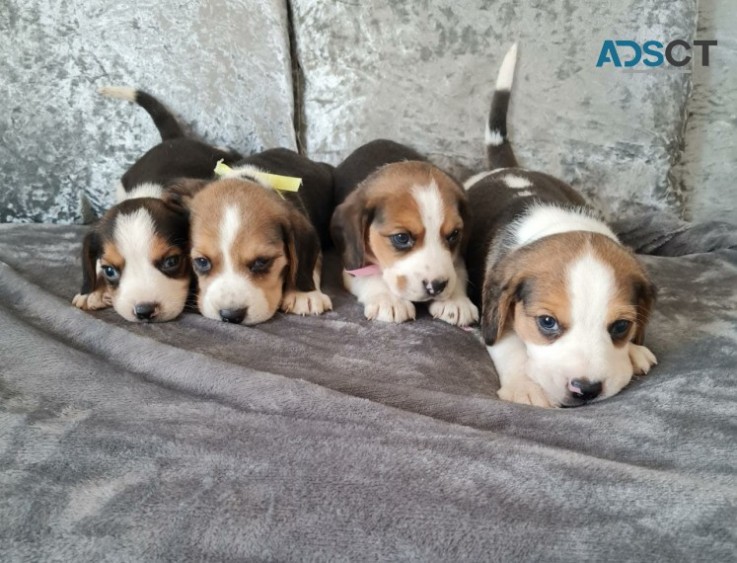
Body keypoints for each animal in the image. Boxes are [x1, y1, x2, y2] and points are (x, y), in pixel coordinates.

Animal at [330, 140, 478, 326]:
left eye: (454, 235)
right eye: (401, 238)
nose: (436, 286)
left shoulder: (457, 258)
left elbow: (458, 272)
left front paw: (456, 301)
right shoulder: (352, 266)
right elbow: (371, 277)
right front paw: (390, 301)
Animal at [462, 44, 660, 406]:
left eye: (620, 327)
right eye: (547, 322)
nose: (586, 389)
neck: (561, 224)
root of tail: (506, 169)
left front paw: (634, 351)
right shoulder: (495, 308)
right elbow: (508, 345)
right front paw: (525, 386)